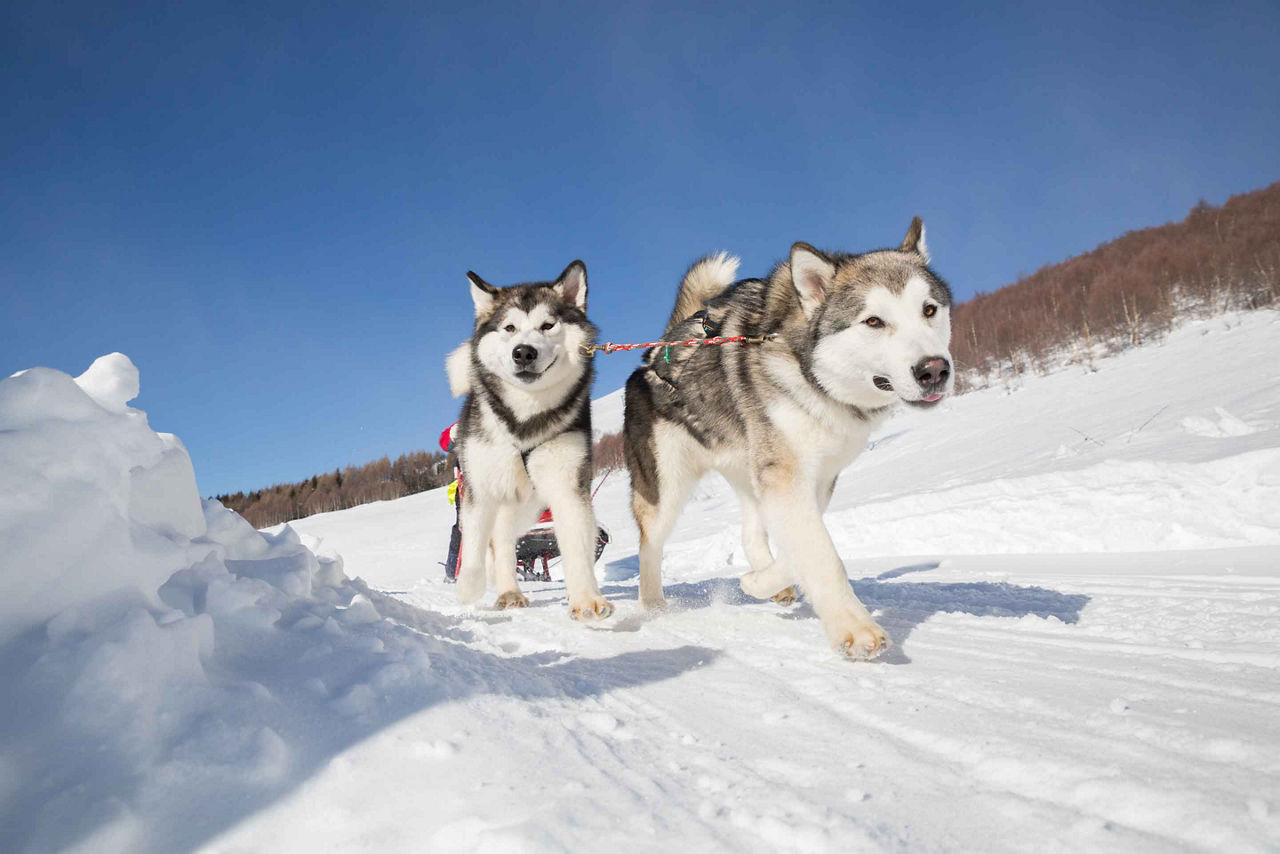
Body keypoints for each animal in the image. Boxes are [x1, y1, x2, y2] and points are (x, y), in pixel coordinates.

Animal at [445, 261, 614, 622]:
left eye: (548, 325)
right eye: (509, 328)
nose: (523, 352)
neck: (523, 420)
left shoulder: (567, 485)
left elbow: (576, 543)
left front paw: (586, 598)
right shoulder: (479, 488)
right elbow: (474, 544)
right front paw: (469, 588)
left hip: (527, 507)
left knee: (504, 538)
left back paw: (510, 589)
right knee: (492, 539)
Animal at [619, 217, 952, 660]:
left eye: (929, 310)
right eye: (873, 322)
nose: (934, 370)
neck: (808, 372)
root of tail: (655, 353)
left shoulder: (813, 479)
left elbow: (800, 547)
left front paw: (759, 582)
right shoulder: (788, 477)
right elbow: (822, 554)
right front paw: (855, 629)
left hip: (748, 467)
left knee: (750, 529)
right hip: (666, 488)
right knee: (649, 544)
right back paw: (653, 605)